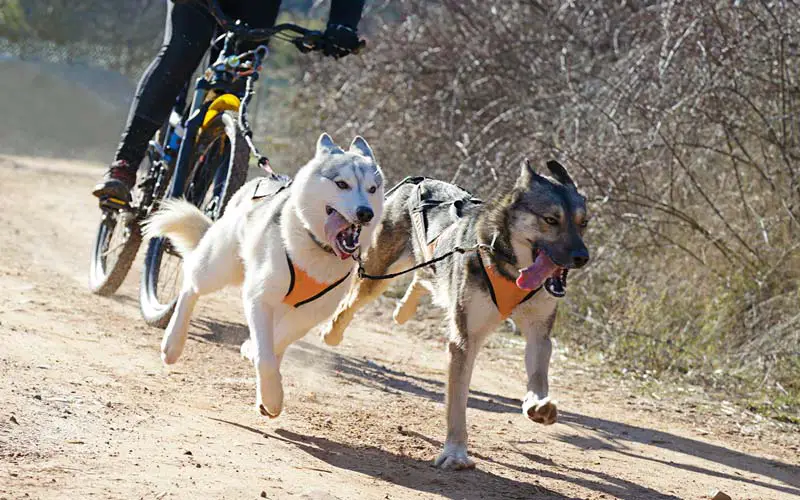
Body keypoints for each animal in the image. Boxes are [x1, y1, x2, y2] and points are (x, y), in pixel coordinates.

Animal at [145, 133, 386, 418]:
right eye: (342, 184)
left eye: (372, 189)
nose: (365, 213)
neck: (317, 248)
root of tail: (259, 182)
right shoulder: (259, 297)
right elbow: (266, 356)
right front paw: (272, 396)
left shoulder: (310, 313)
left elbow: (277, 340)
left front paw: (255, 359)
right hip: (218, 267)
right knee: (191, 286)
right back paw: (173, 343)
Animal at [322, 159, 592, 468]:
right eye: (551, 220)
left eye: (583, 223)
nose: (582, 257)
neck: (510, 271)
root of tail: (419, 182)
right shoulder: (464, 341)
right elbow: (457, 405)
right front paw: (455, 452)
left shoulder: (539, 335)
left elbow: (538, 378)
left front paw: (538, 405)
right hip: (378, 275)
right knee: (348, 305)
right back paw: (332, 333)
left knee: (424, 279)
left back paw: (403, 310)